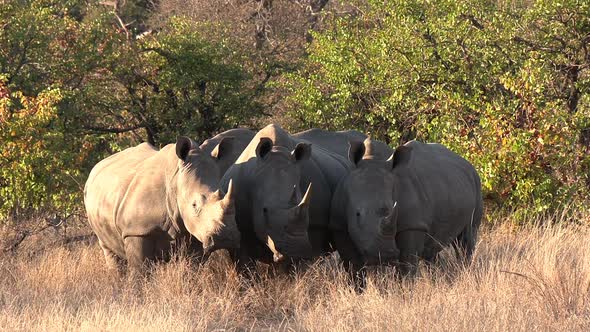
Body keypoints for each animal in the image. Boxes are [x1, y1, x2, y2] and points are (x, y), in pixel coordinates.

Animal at [84, 136, 240, 272]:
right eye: (194, 205)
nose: (225, 238)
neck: (176, 182)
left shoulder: (196, 231)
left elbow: (192, 268)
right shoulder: (136, 230)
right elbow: (139, 271)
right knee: (108, 249)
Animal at [330, 137, 484, 288]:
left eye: (390, 210)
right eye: (357, 214)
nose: (382, 255)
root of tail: (467, 164)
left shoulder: (413, 225)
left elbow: (407, 265)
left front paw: (404, 291)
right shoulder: (340, 226)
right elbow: (353, 267)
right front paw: (358, 291)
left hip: (476, 184)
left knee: (466, 240)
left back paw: (465, 274)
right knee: (433, 249)